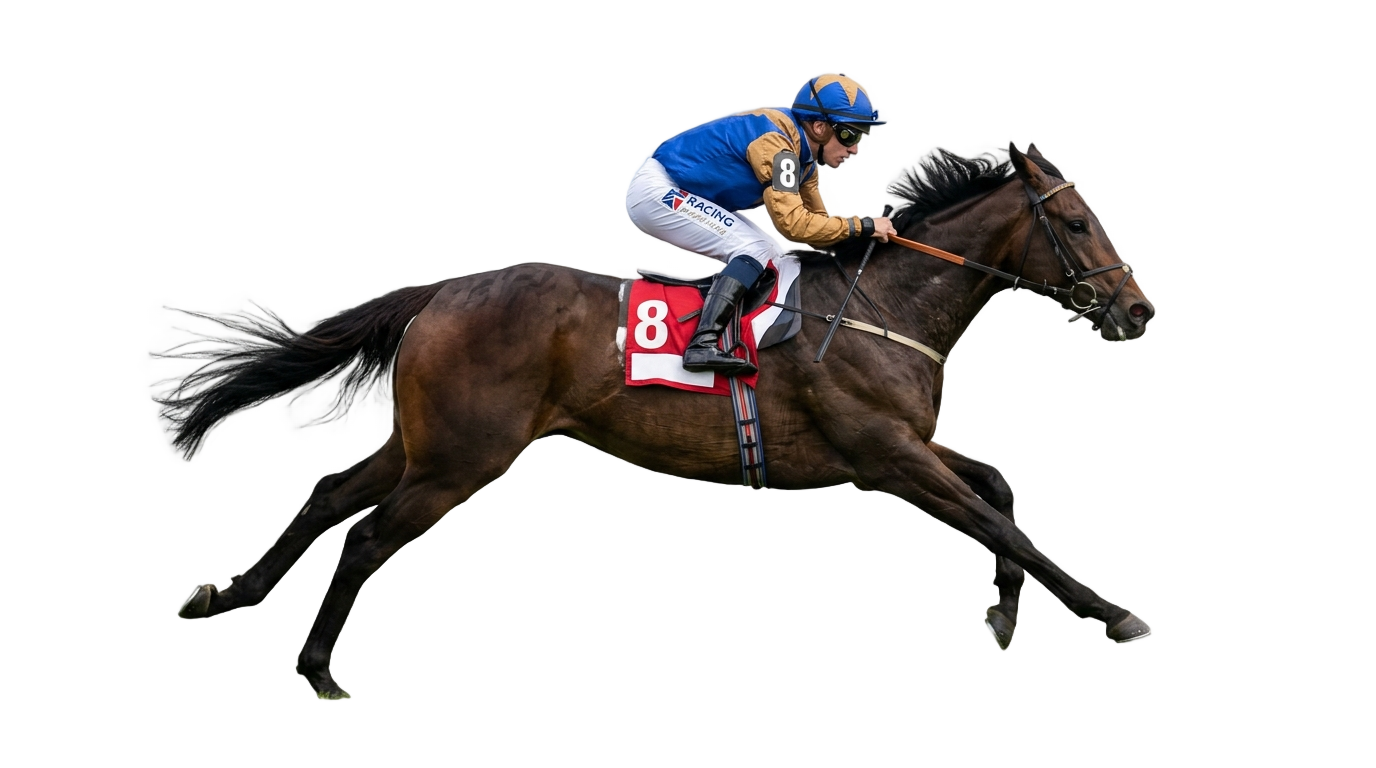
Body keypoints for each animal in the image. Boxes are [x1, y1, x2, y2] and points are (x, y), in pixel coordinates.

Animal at [166, 144, 1157, 698]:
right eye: (1076, 223)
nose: (1140, 310)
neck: (886, 304)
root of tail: (441, 290)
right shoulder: (883, 451)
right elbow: (999, 518)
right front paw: (1109, 612)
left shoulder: (901, 448)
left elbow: (999, 494)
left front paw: (1007, 608)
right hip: (460, 458)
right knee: (368, 535)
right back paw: (316, 669)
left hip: (425, 440)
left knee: (332, 493)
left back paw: (230, 593)